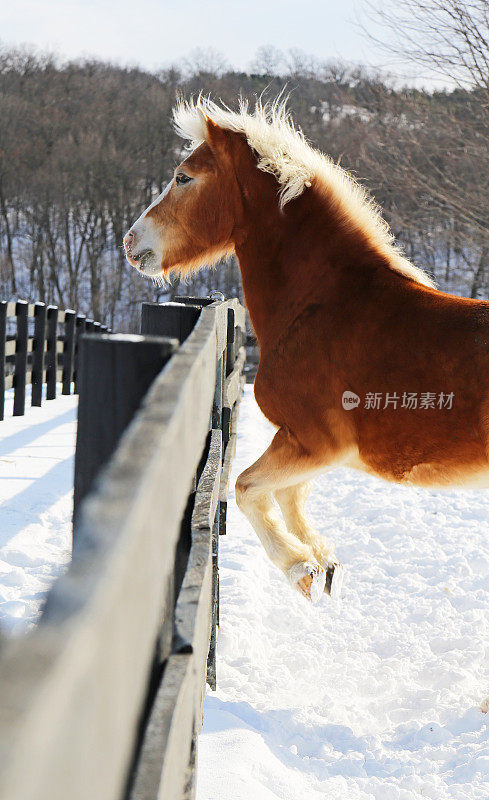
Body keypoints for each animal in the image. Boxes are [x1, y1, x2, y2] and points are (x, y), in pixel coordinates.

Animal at [123, 97, 489, 604]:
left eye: (183, 177)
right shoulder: (300, 442)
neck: (322, 304)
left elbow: (247, 488)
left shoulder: (317, 442)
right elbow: (286, 494)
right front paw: (322, 561)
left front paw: (300, 567)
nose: (131, 242)